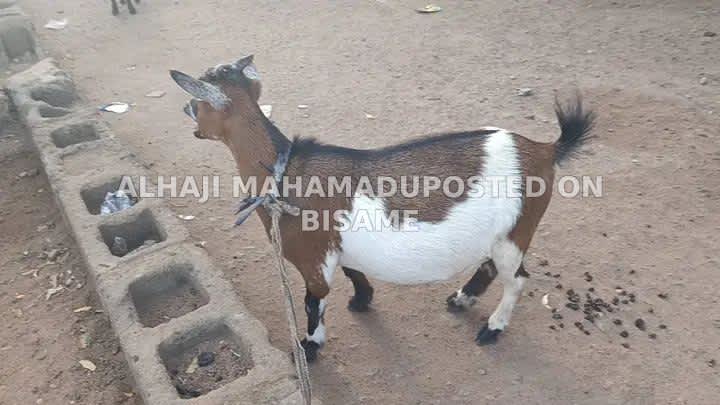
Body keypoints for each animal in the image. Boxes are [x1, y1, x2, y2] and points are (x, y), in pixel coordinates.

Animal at [170, 56, 595, 362]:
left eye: (200, 102)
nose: (186, 111)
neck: (282, 171)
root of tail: (544, 150)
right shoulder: (338, 248)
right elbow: (353, 270)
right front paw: (362, 300)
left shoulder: (312, 259)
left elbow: (313, 302)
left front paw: (309, 347)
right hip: (502, 234)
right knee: (491, 267)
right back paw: (461, 299)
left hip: (515, 231)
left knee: (516, 279)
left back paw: (492, 328)